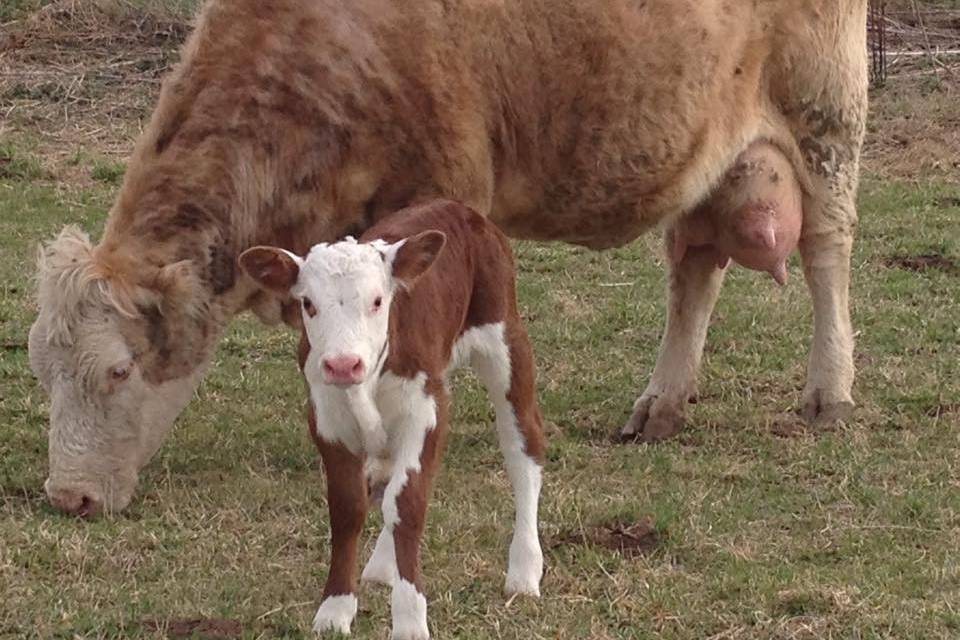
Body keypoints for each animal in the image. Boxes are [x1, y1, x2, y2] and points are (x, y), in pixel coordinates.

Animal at [30, 0, 872, 516]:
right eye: (41, 369)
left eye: (119, 370)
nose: (68, 497)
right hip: (704, 157)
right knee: (694, 269)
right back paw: (661, 404)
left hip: (826, 117)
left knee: (827, 251)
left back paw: (828, 391)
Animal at [237, 199, 544, 636]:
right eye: (308, 303)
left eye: (378, 300)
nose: (343, 364)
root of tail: (456, 207)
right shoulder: (326, 418)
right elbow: (348, 507)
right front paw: (336, 609)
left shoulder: (426, 410)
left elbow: (408, 504)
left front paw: (410, 619)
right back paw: (383, 565)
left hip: (505, 342)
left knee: (523, 449)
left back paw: (524, 568)